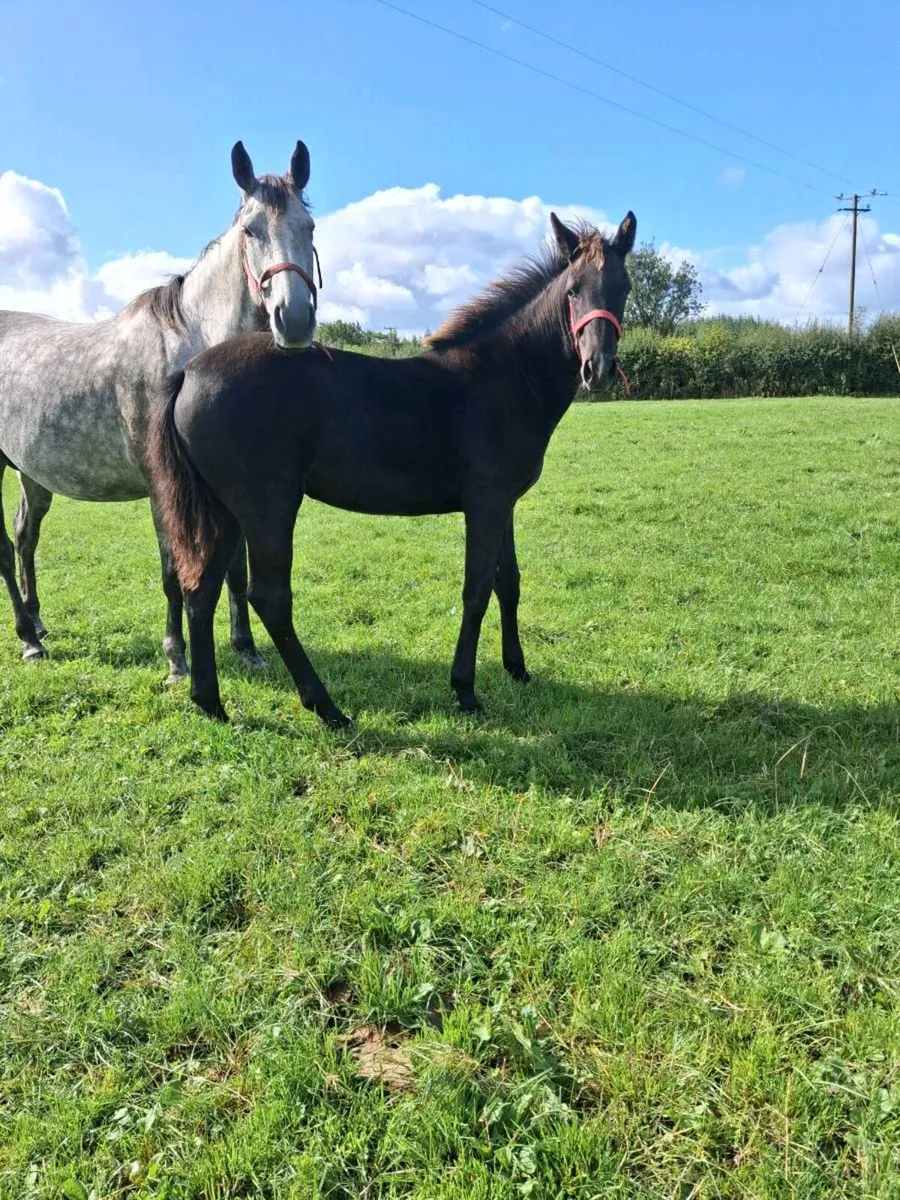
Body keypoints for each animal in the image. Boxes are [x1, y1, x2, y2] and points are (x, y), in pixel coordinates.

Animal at [0, 139, 319, 680]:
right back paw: (28, 639)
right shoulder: (162, 486)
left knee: (25, 538)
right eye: (251, 230)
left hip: (31, 474)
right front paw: (177, 659)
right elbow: (174, 570)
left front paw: (246, 647)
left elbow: (234, 569)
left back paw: (38, 624)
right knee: (5, 548)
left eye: (309, 227)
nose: (293, 319)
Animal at [151, 210, 636, 727]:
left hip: (224, 510)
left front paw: (518, 669)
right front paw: (465, 689)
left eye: (623, 288)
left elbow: (509, 583)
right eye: (573, 291)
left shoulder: (504, 503)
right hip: (268, 508)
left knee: (201, 589)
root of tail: (189, 372)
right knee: (269, 597)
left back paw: (210, 701)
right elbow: (477, 589)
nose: (598, 369)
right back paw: (327, 707)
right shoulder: (485, 504)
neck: (505, 377)